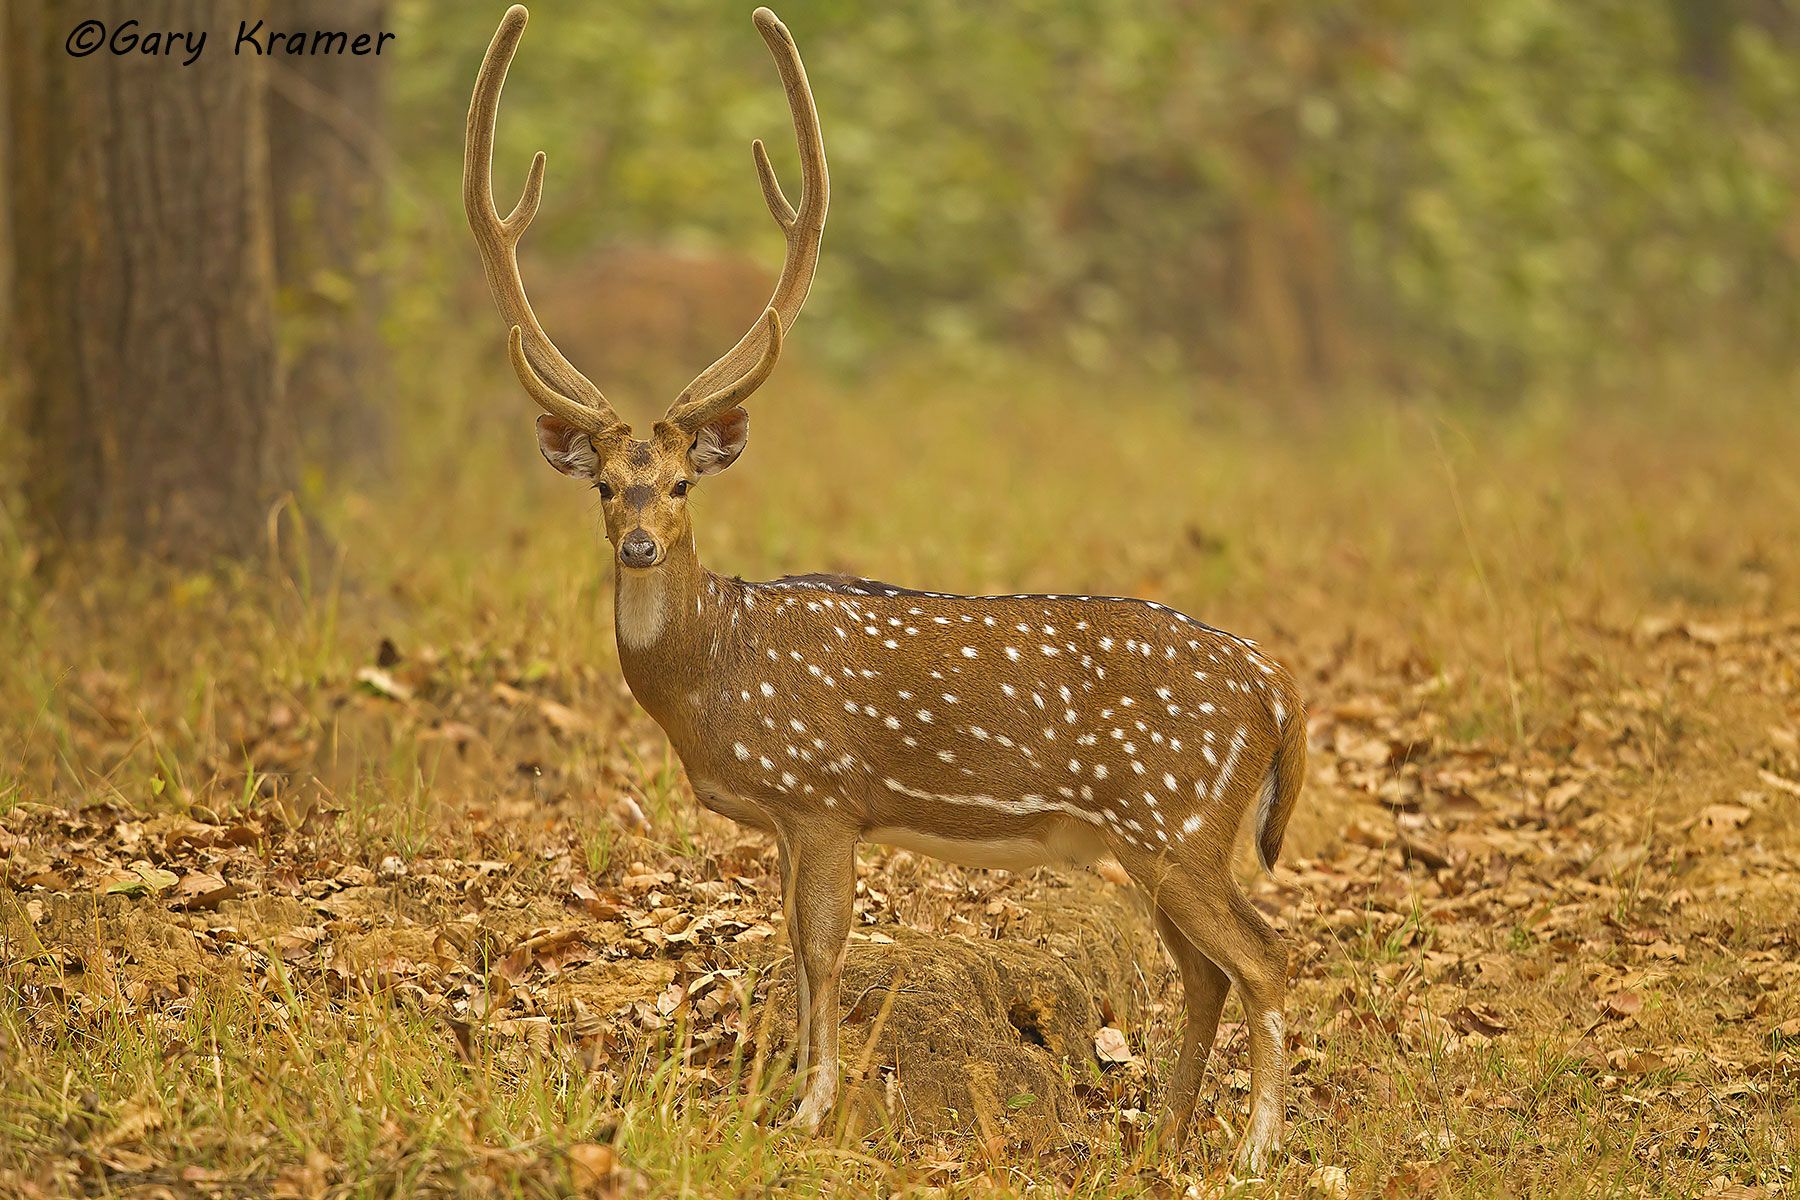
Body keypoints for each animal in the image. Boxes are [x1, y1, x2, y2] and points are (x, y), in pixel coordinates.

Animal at [465, 4, 1307, 1173]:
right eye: (601, 484)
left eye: (680, 483)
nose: (636, 545)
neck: (714, 674)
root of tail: (1277, 692)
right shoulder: (787, 814)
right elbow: (790, 942)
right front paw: (786, 1093)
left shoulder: (822, 793)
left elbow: (823, 948)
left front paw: (812, 1108)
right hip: (1162, 837)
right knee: (1204, 972)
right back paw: (1162, 1137)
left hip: (1175, 817)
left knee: (1264, 957)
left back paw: (1253, 1149)